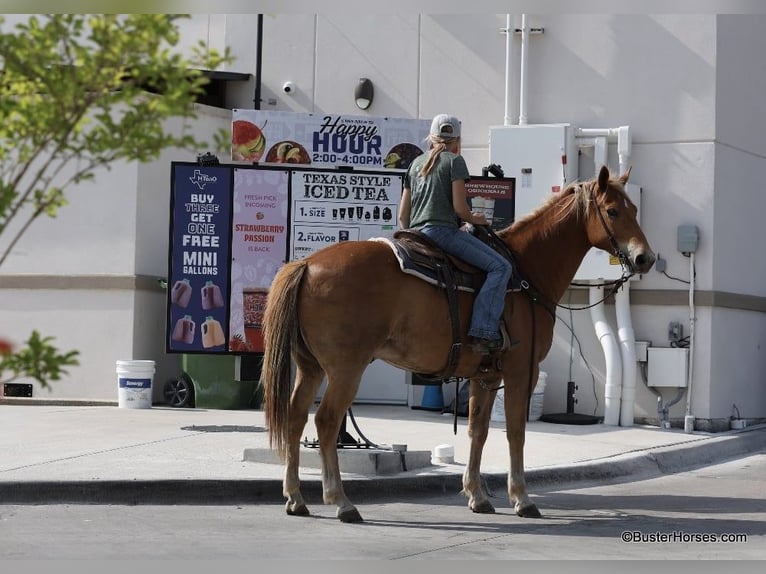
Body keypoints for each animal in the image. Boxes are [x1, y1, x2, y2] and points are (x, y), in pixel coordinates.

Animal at [260, 166, 656, 528]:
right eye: (612, 211)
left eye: (635, 209)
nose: (645, 258)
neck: (525, 271)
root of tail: (307, 263)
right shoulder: (520, 371)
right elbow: (515, 432)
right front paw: (521, 498)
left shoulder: (484, 376)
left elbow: (477, 431)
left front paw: (478, 495)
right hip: (346, 369)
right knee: (326, 421)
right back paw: (341, 501)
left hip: (310, 366)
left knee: (295, 417)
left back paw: (296, 498)